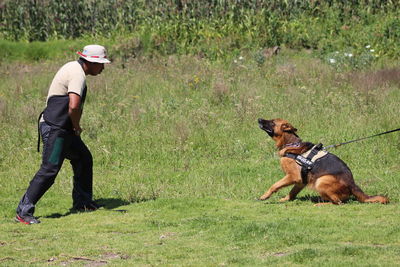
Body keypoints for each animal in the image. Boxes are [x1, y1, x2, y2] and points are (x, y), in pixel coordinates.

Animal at [258, 119, 390, 205]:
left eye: (272, 122)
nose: (259, 119)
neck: (291, 143)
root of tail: (352, 184)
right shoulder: (300, 181)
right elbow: (292, 192)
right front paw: (286, 199)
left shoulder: (292, 176)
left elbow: (274, 185)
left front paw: (264, 196)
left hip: (322, 180)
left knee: (338, 203)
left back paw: (321, 203)